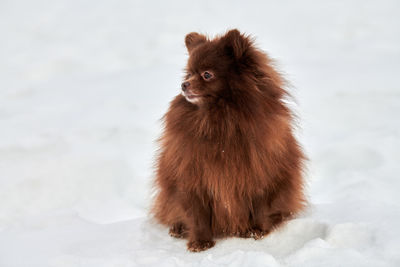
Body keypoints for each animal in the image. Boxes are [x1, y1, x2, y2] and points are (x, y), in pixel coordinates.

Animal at [152, 29, 304, 253]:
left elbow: (260, 205)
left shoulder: (261, 172)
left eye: (207, 74)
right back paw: (178, 228)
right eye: (188, 74)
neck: (220, 119)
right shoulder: (192, 176)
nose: (184, 85)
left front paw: (257, 231)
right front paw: (200, 242)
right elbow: (197, 214)